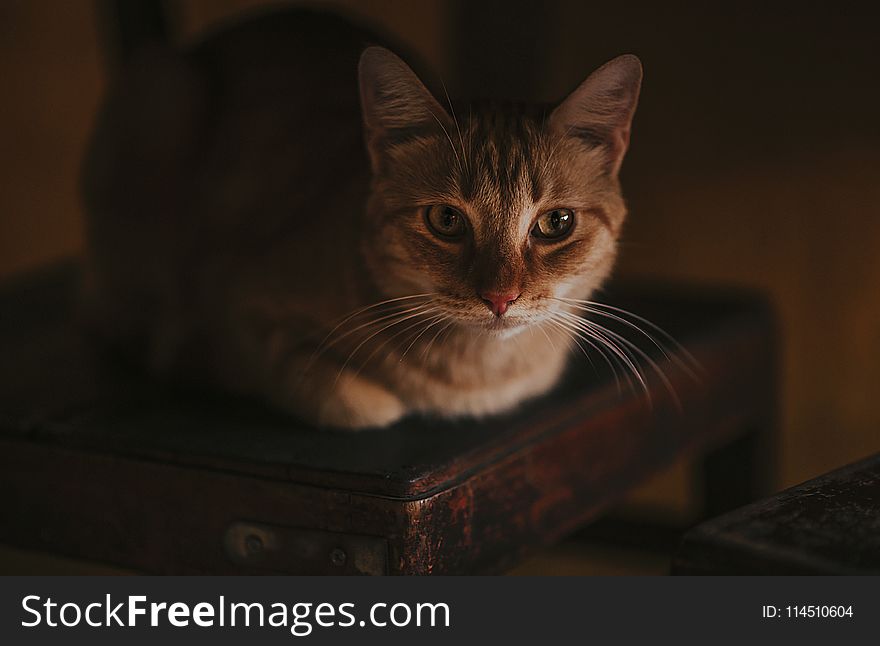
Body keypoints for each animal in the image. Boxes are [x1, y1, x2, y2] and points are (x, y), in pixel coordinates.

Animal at [81, 8, 640, 430]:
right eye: (446, 220)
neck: (478, 378)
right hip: (163, 100)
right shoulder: (234, 301)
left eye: (556, 223)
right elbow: (354, 400)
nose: (500, 298)